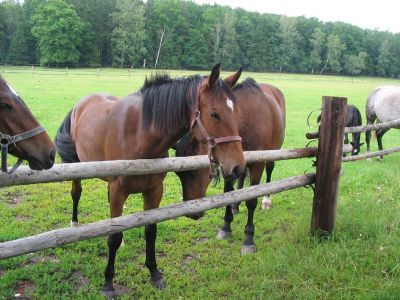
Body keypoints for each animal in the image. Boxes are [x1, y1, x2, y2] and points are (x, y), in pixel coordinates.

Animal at [54, 63, 245, 296]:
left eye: (237, 113)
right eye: (214, 114)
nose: (237, 167)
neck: (139, 136)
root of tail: (82, 103)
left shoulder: (154, 191)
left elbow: (150, 231)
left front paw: (155, 274)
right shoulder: (117, 192)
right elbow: (113, 236)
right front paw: (108, 284)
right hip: (78, 169)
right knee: (76, 193)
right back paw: (74, 224)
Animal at [174, 77, 284, 253]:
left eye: (197, 173)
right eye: (179, 174)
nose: (193, 214)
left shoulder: (256, 164)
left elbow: (251, 200)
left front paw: (248, 238)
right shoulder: (229, 164)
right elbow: (228, 192)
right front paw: (226, 226)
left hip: (273, 152)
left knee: (269, 170)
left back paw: (266, 200)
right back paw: (235, 205)